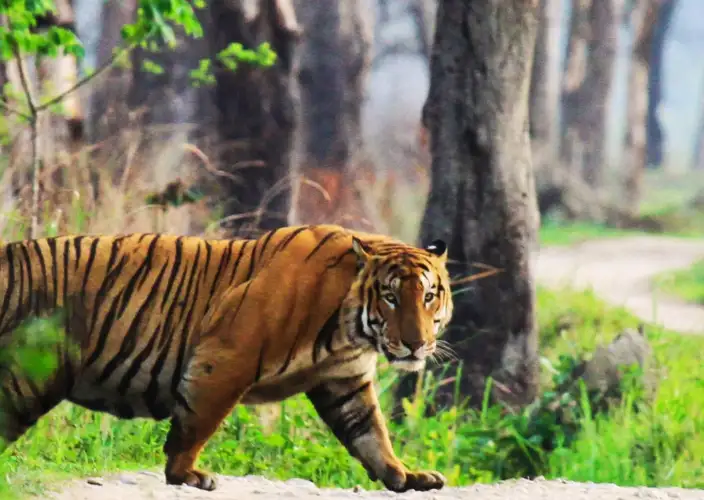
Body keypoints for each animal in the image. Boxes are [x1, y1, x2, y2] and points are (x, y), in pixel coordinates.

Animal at [0, 224, 453, 492]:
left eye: (429, 296)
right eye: (391, 298)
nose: (416, 344)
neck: (351, 332)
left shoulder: (345, 382)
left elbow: (371, 434)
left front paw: (405, 475)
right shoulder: (226, 357)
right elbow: (197, 425)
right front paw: (185, 474)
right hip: (25, 378)